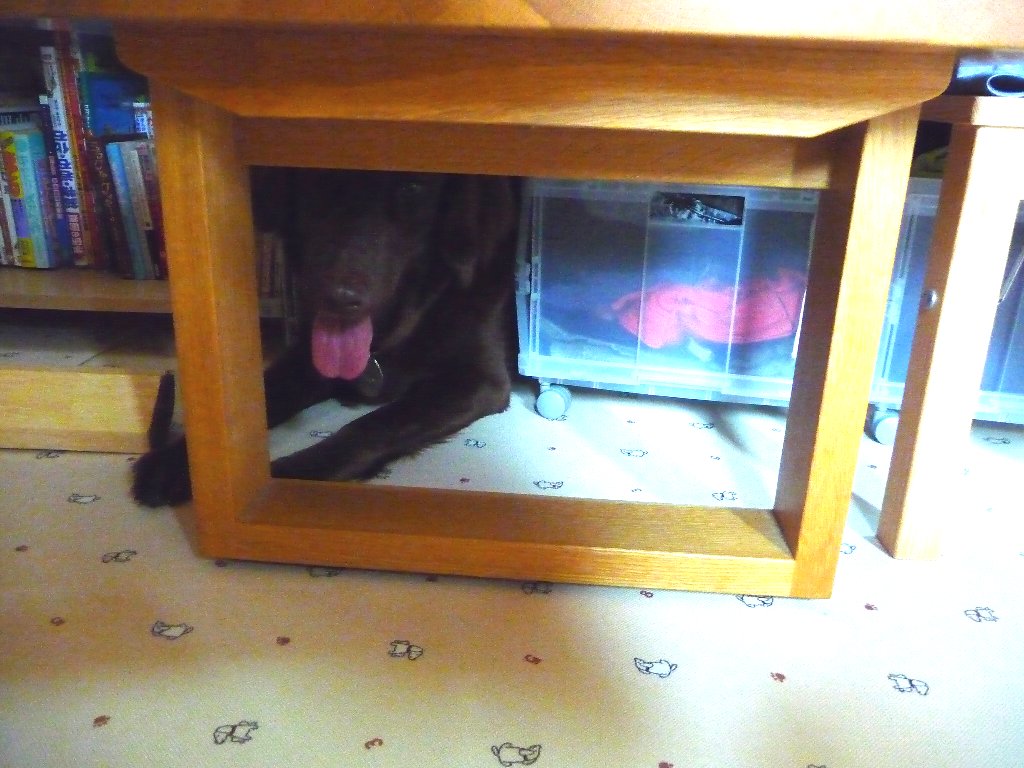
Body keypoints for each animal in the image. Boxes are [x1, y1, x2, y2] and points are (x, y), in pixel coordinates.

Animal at [132, 169, 519, 507]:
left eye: (413, 188)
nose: (339, 298)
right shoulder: (306, 354)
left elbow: (373, 425)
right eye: (323, 179)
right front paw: (178, 462)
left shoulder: (479, 380)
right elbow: (262, 392)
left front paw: (290, 480)